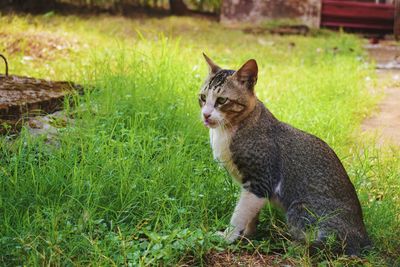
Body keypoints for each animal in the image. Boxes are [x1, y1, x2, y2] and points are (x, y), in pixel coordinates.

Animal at [200, 53, 372, 256]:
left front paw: (229, 236)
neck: (226, 132)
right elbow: (251, 215)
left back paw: (293, 245)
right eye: (202, 97)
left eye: (222, 101)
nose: (205, 115)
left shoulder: (260, 180)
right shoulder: (251, 186)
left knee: (329, 246)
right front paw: (248, 235)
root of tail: (364, 237)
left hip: (299, 209)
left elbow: (240, 214)